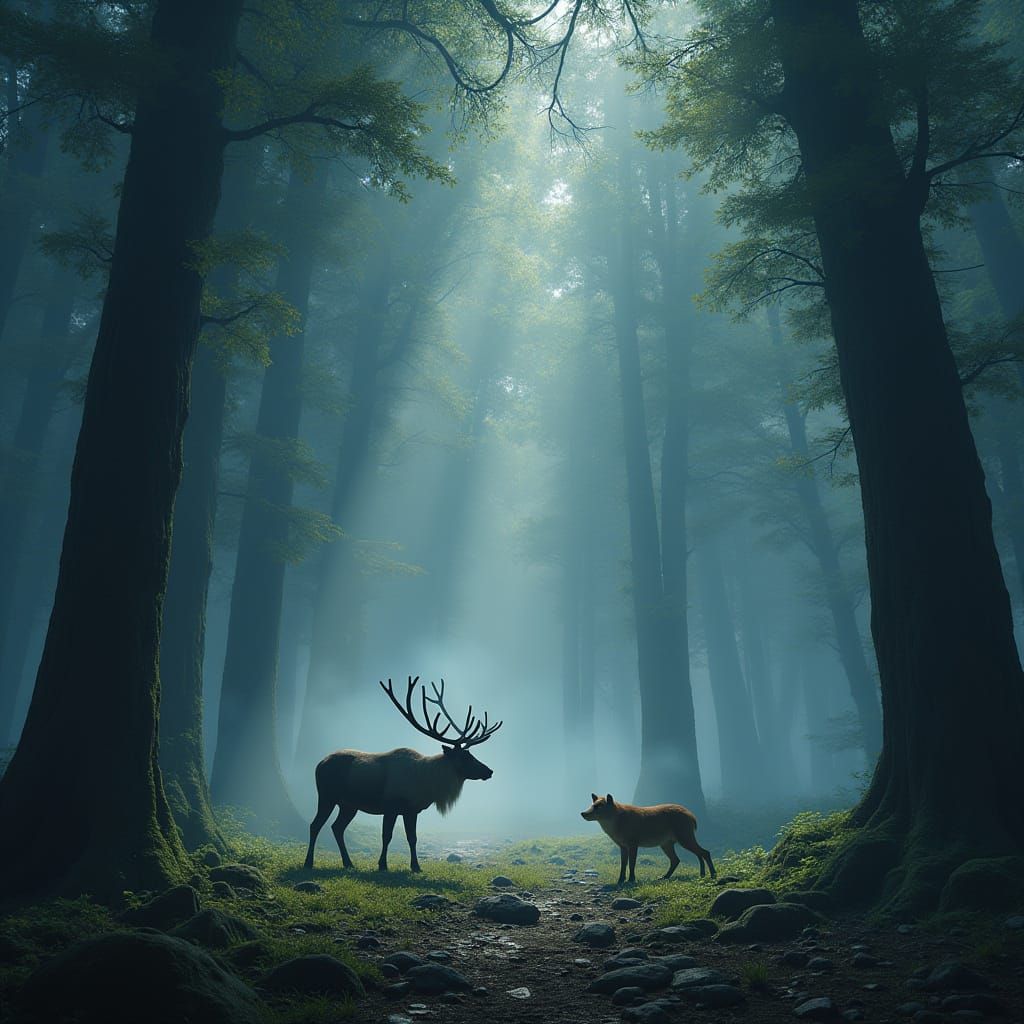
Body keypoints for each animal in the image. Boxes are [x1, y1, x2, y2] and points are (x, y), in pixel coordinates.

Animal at [304, 676, 502, 872]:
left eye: (470, 754)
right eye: (465, 757)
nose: (489, 771)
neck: (426, 782)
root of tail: (319, 764)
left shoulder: (411, 810)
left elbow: (412, 838)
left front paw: (416, 866)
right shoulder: (391, 806)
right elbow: (387, 836)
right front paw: (382, 865)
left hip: (349, 805)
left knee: (337, 828)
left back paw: (348, 863)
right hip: (327, 795)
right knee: (316, 825)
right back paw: (309, 862)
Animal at [581, 792, 716, 885]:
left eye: (599, 806)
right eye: (592, 804)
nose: (583, 813)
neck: (617, 825)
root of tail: (693, 817)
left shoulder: (633, 843)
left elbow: (632, 863)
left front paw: (631, 880)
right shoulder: (622, 845)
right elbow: (623, 864)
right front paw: (620, 880)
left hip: (683, 837)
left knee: (705, 852)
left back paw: (712, 874)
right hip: (667, 843)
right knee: (678, 859)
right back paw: (668, 876)